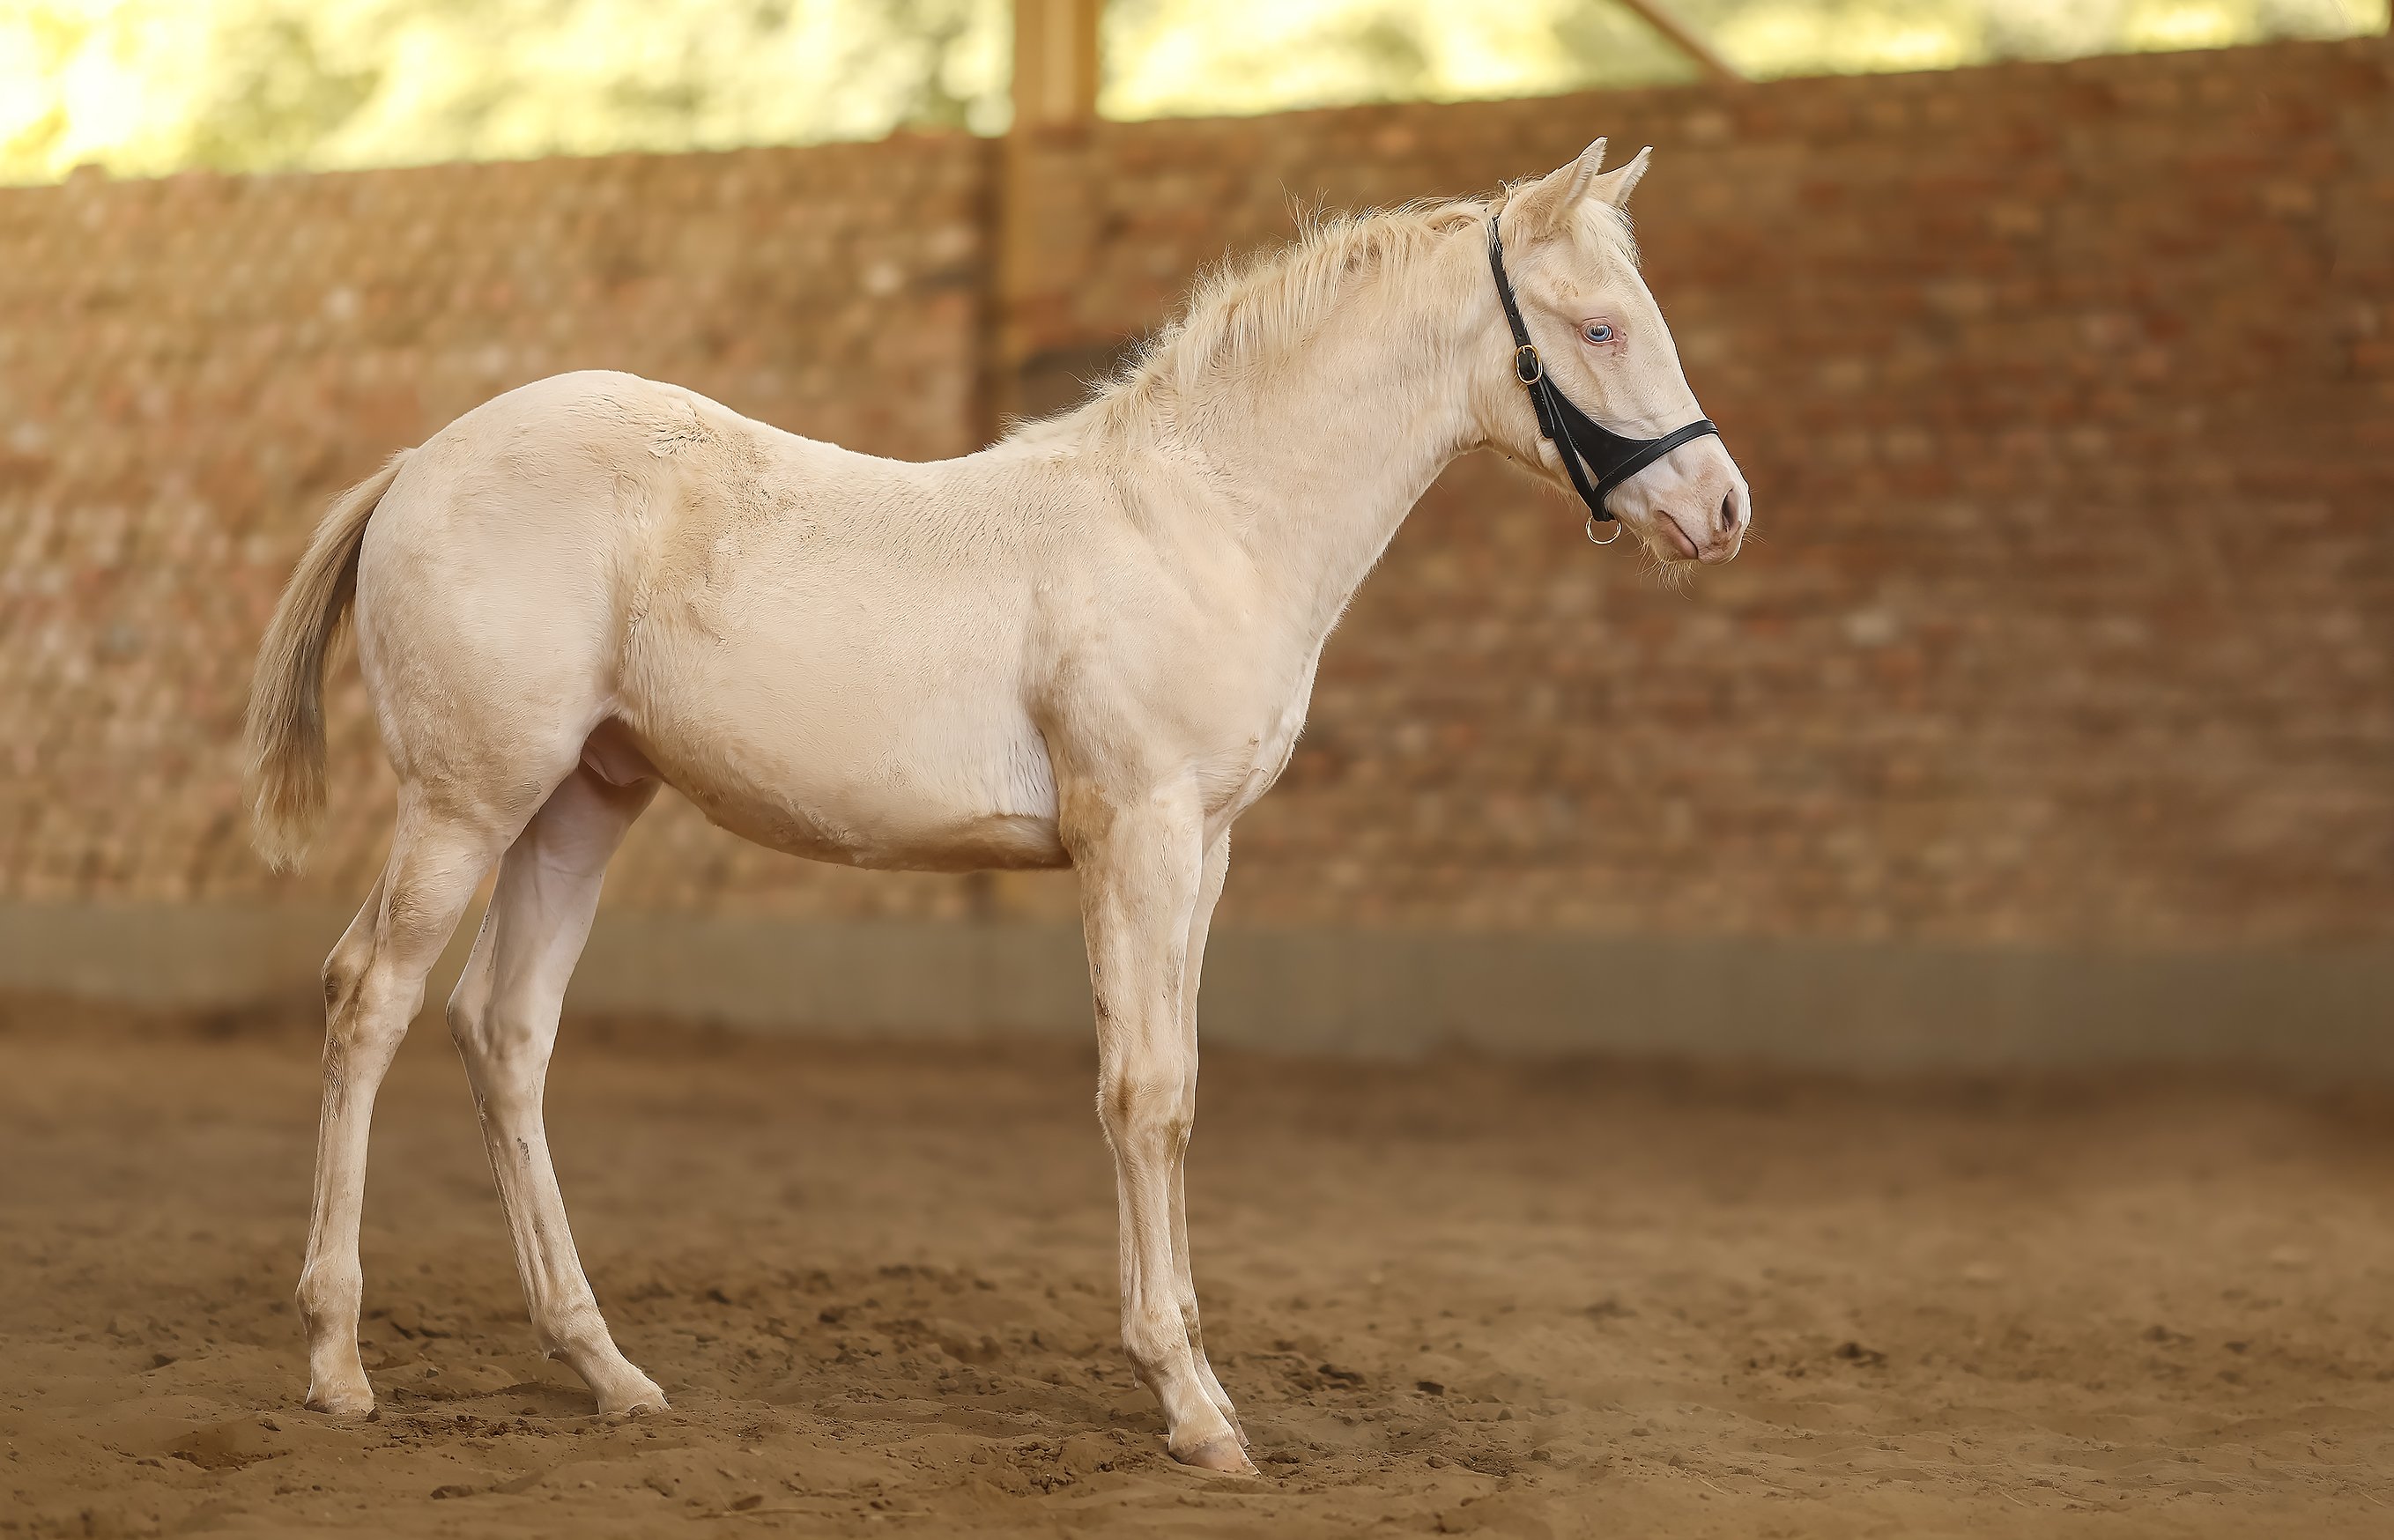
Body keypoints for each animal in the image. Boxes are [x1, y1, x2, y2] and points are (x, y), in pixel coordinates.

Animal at [243, 138, 1748, 1474]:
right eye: (1600, 326)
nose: (1722, 507)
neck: (1204, 519)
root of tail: (421, 461)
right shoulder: (1134, 836)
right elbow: (1140, 1095)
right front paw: (1189, 1410)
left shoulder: (1201, 852)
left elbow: (1179, 1093)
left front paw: (1203, 1380)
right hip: (467, 802)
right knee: (369, 998)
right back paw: (337, 1363)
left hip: (580, 805)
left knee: (504, 1031)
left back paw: (606, 1370)